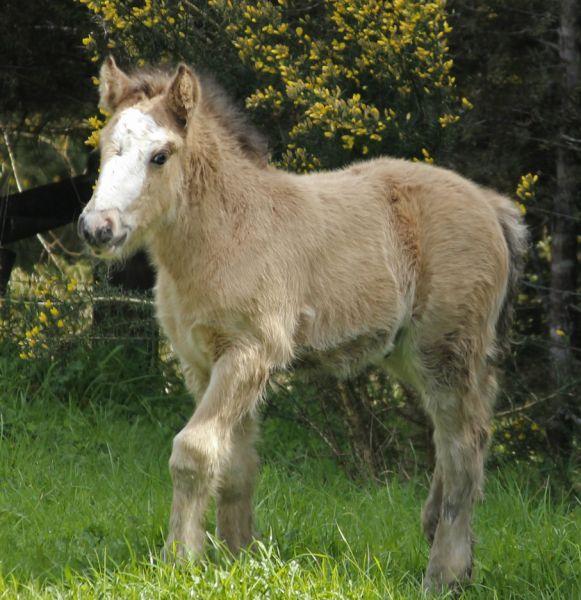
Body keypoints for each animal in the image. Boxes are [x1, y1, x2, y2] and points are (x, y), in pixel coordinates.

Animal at [79, 57, 528, 592]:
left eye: (161, 156)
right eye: (104, 146)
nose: (97, 228)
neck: (227, 232)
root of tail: (491, 204)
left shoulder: (249, 353)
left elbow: (194, 451)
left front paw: (180, 562)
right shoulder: (201, 364)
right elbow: (236, 463)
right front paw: (236, 558)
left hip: (445, 348)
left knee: (463, 447)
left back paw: (444, 573)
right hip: (411, 354)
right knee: (455, 436)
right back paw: (444, 538)